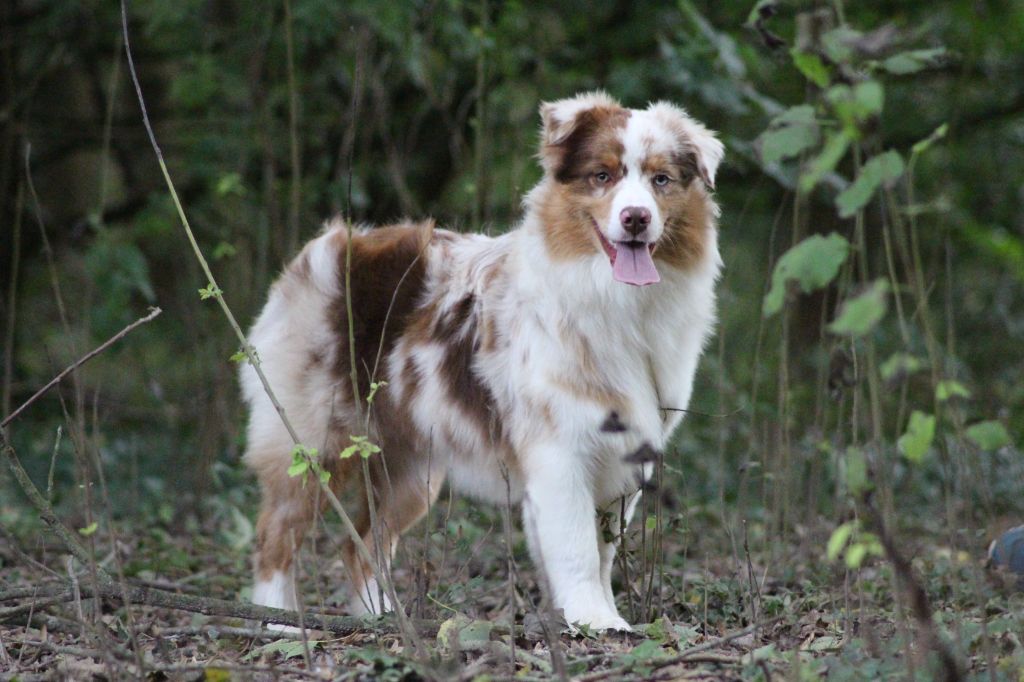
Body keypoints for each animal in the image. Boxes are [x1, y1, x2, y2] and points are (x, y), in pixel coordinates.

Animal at [241, 90, 720, 626]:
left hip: (412, 469)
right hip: (309, 442)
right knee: (275, 538)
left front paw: (593, 615)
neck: (613, 299)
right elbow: (577, 549)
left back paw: (381, 619)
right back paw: (274, 618)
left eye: (661, 180)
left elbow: (602, 553)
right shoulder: (558, 452)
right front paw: (595, 622)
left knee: (361, 543)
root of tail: (329, 245)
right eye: (603, 176)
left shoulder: (625, 455)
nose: (636, 217)